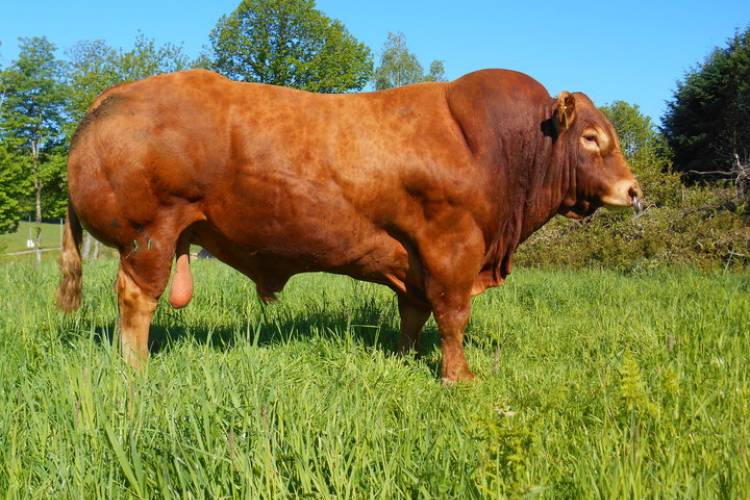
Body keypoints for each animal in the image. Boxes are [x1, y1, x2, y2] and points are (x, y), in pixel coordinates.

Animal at [56, 69, 642, 382]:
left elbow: (414, 312)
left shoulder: (415, 258)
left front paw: (405, 358)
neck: (496, 147)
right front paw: (459, 376)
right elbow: (453, 316)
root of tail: (114, 94)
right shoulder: (452, 247)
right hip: (148, 236)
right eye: (592, 138)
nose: (634, 191)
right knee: (136, 301)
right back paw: (136, 368)